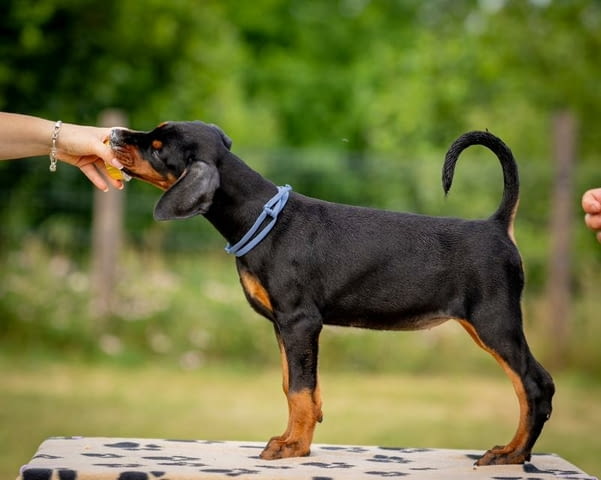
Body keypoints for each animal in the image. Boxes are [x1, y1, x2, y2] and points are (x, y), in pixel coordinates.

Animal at [108, 122, 552, 466]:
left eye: (158, 147)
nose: (114, 134)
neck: (262, 217)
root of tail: (496, 225)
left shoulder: (300, 320)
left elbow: (300, 390)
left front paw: (292, 448)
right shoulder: (283, 325)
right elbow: (293, 384)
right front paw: (296, 440)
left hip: (494, 321)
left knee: (534, 384)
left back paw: (511, 454)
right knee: (529, 386)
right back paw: (518, 452)